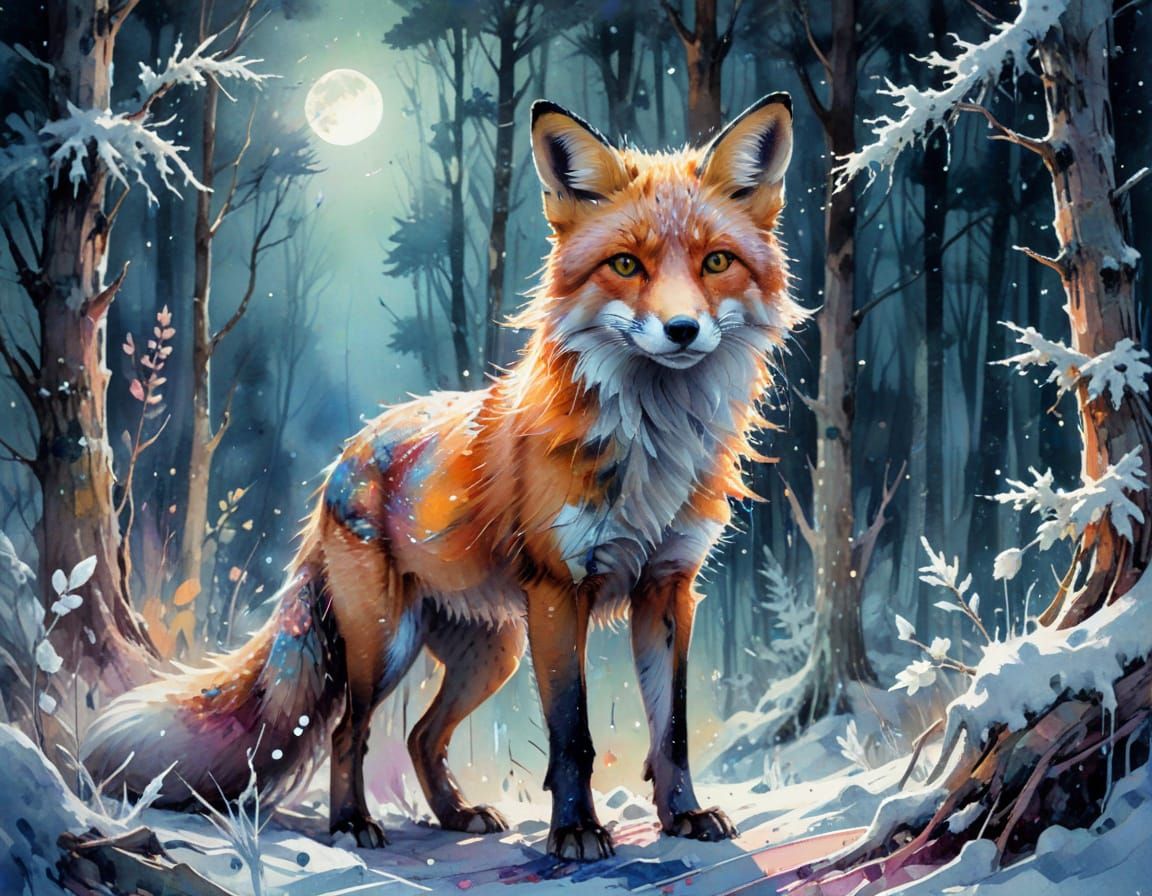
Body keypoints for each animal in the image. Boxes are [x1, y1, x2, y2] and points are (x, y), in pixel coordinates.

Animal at [83, 93, 804, 860]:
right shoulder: (559, 592)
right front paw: (576, 831)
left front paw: (684, 817)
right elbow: (572, 737)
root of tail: (346, 455)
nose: (682, 330)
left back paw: (458, 814)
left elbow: (671, 731)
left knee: (421, 735)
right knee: (350, 730)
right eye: (626, 264)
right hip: (386, 643)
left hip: (494, 654)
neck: (652, 449)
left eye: (717, 261)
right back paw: (352, 824)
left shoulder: (668, 589)